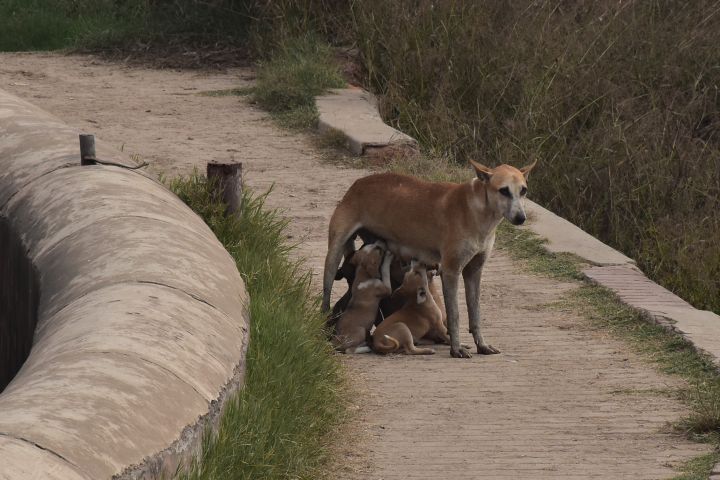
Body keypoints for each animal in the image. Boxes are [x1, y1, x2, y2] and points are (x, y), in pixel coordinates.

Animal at [320, 159, 536, 358]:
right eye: (504, 191)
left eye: (523, 190)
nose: (521, 218)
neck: (478, 211)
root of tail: (359, 182)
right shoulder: (451, 271)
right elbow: (455, 316)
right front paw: (456, 349)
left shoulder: (474, 272)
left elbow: (475, 314)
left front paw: (481, 345)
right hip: (333, 255)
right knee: (326, 297)